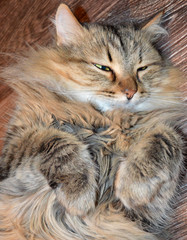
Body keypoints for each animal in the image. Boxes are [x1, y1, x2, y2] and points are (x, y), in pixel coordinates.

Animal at [0, 3, 186, 240]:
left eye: (142, 69)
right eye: (103, 68)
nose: (131, 92)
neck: (108, 122)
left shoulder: (142, 214)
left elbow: (167, 137)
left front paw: (133, 186)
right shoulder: (16, 149)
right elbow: (57, 142)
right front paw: (79, 198)